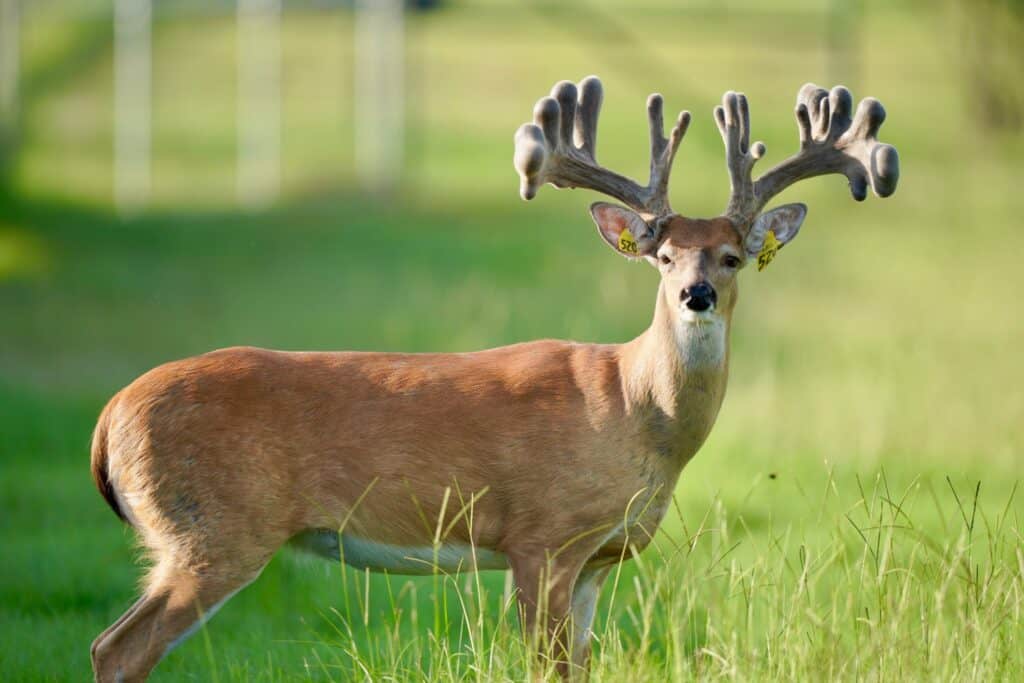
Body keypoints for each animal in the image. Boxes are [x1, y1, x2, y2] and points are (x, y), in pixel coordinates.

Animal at [89, 75, 899, 682]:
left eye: (731, 257)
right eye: (663, 257)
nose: (694, 294)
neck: (634, 412)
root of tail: (107, 417)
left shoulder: (597, 559)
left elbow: (582, 668)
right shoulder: (541, 535)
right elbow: (545, 670)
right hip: (214, 528)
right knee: (117, 649)